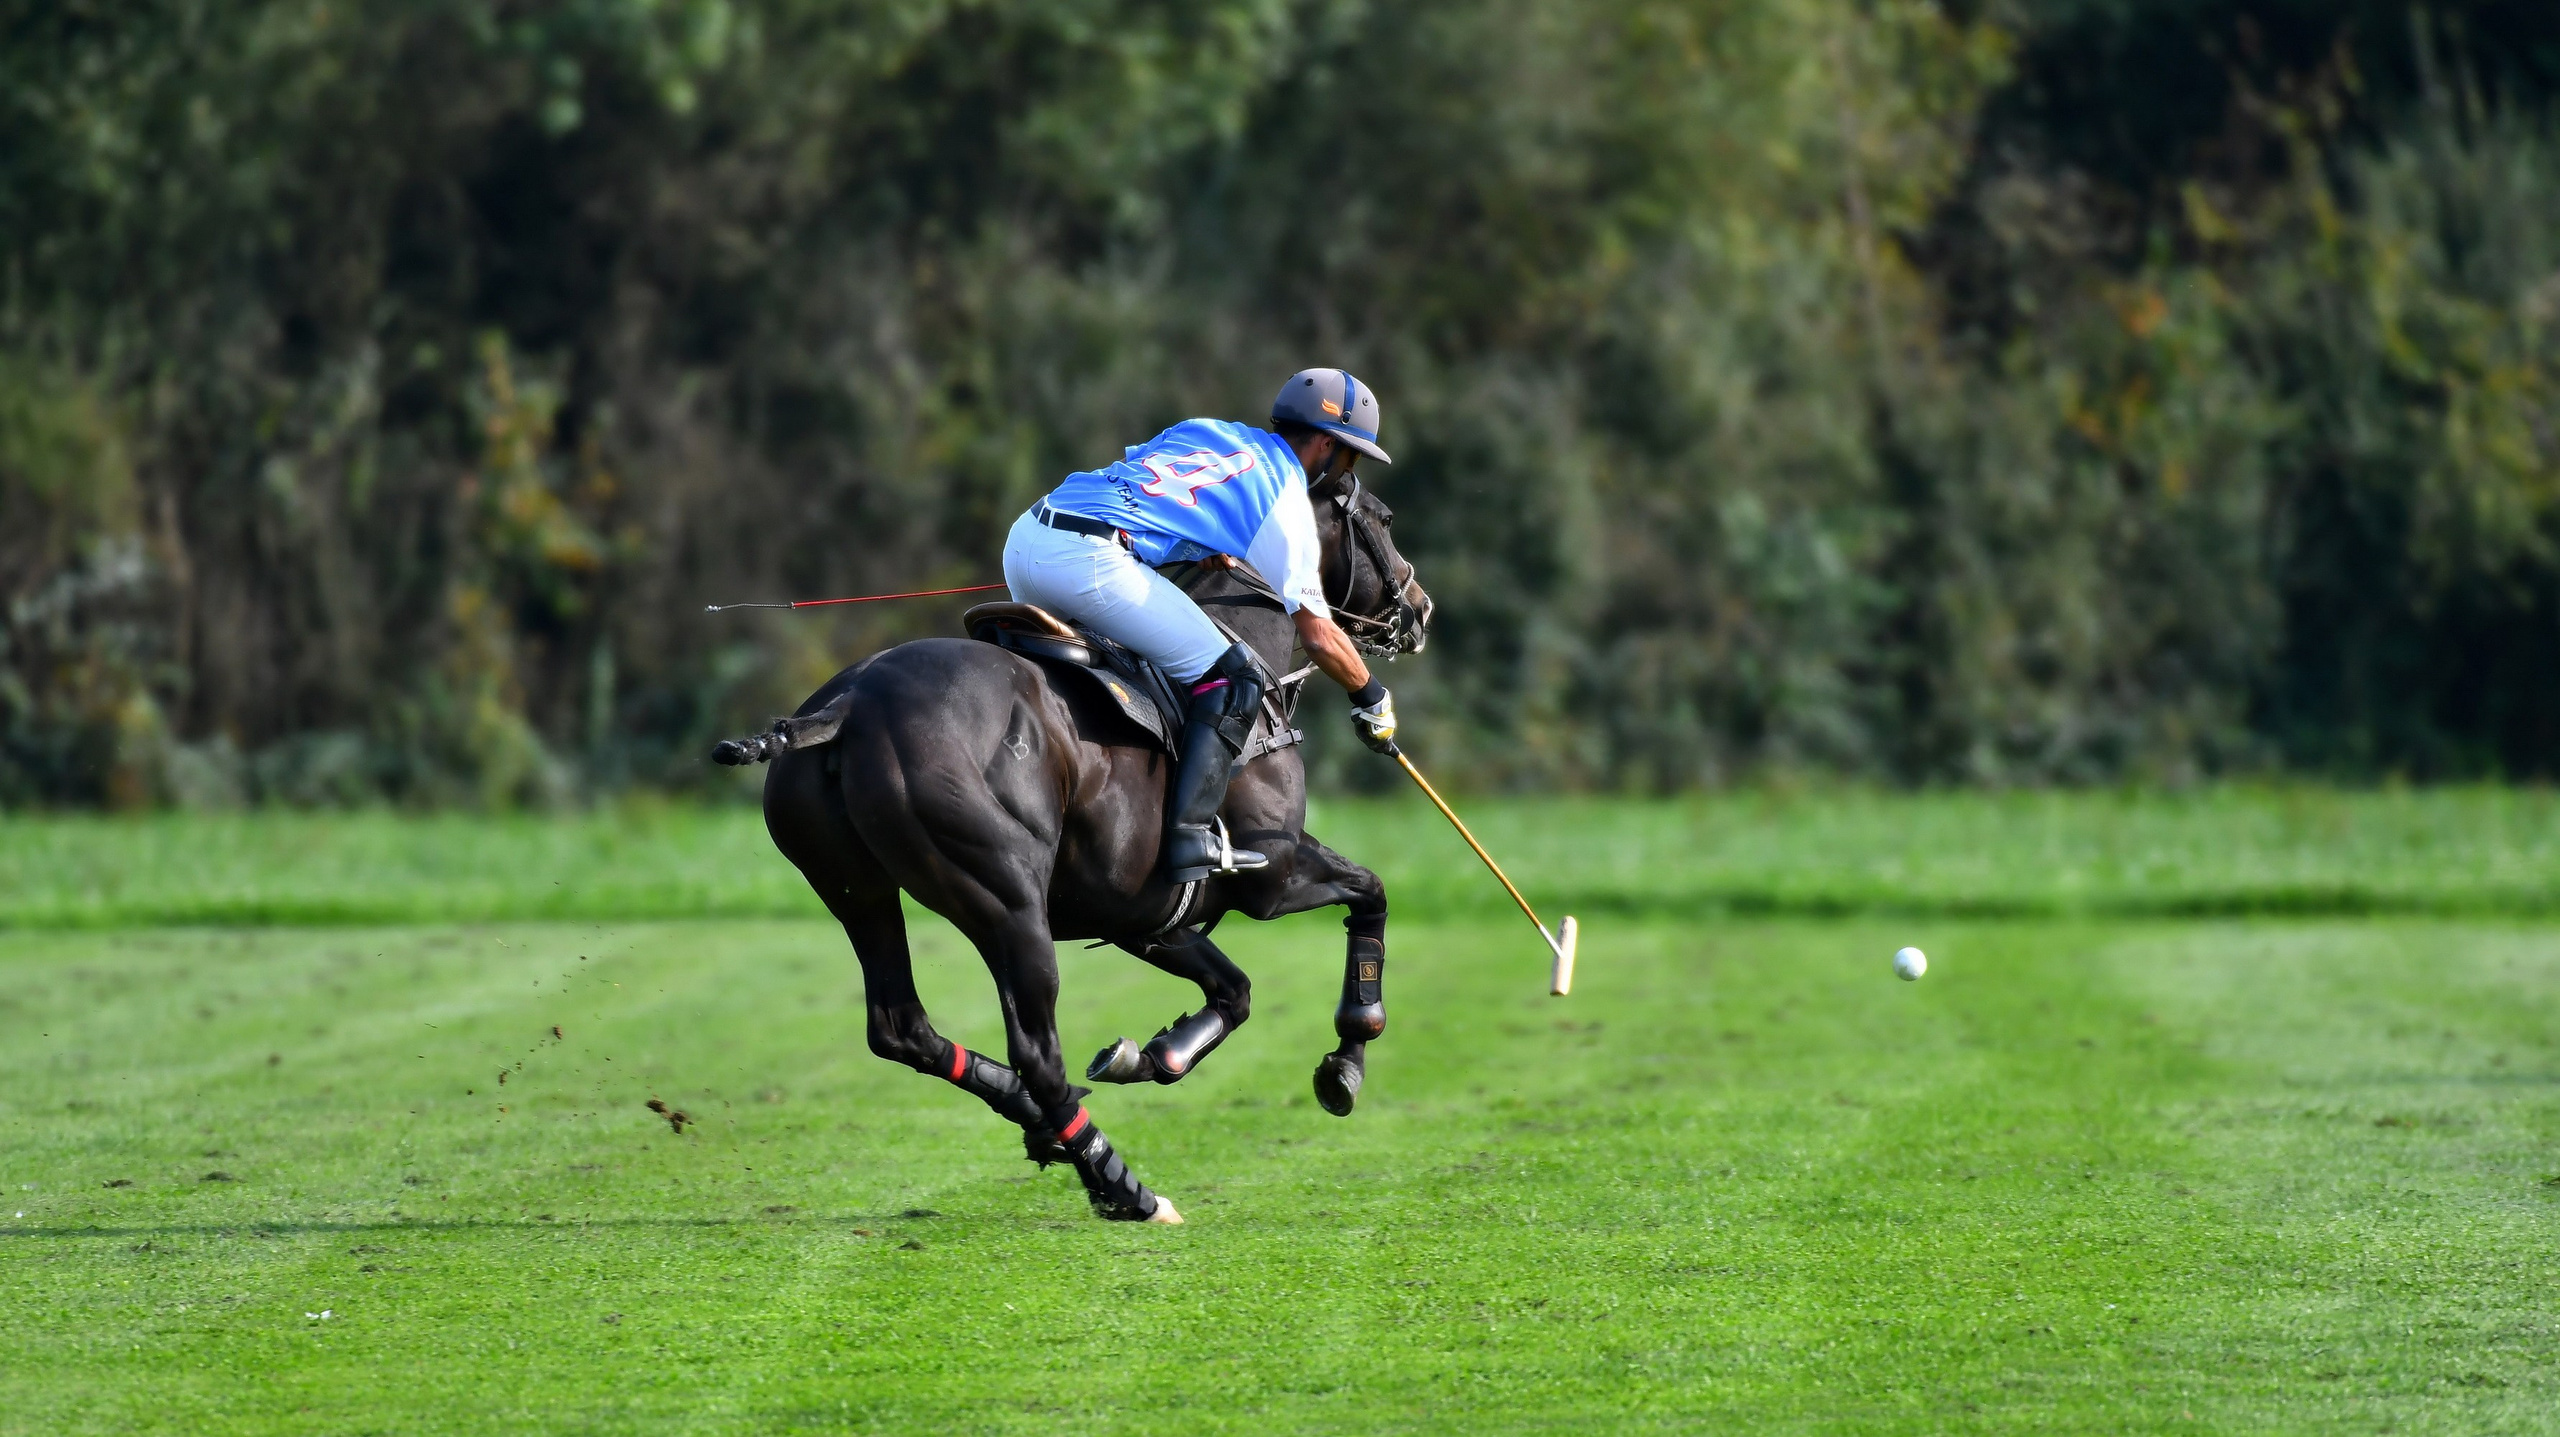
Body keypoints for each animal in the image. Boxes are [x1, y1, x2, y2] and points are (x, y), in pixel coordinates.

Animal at [721, 472, 1434, 1223]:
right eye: (1384, 518)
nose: (1420, 609)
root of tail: (849, 705)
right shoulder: (1272, 874)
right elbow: (1370, 892)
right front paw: (1348, 1058)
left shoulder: (1144, 914)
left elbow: (1234, 990)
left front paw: (1153, 1056)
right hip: (1006, 903)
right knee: (1035, 1050)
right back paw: (1122, 1185)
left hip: (858, 892)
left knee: (899, 1025)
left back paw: (1038, 1120)